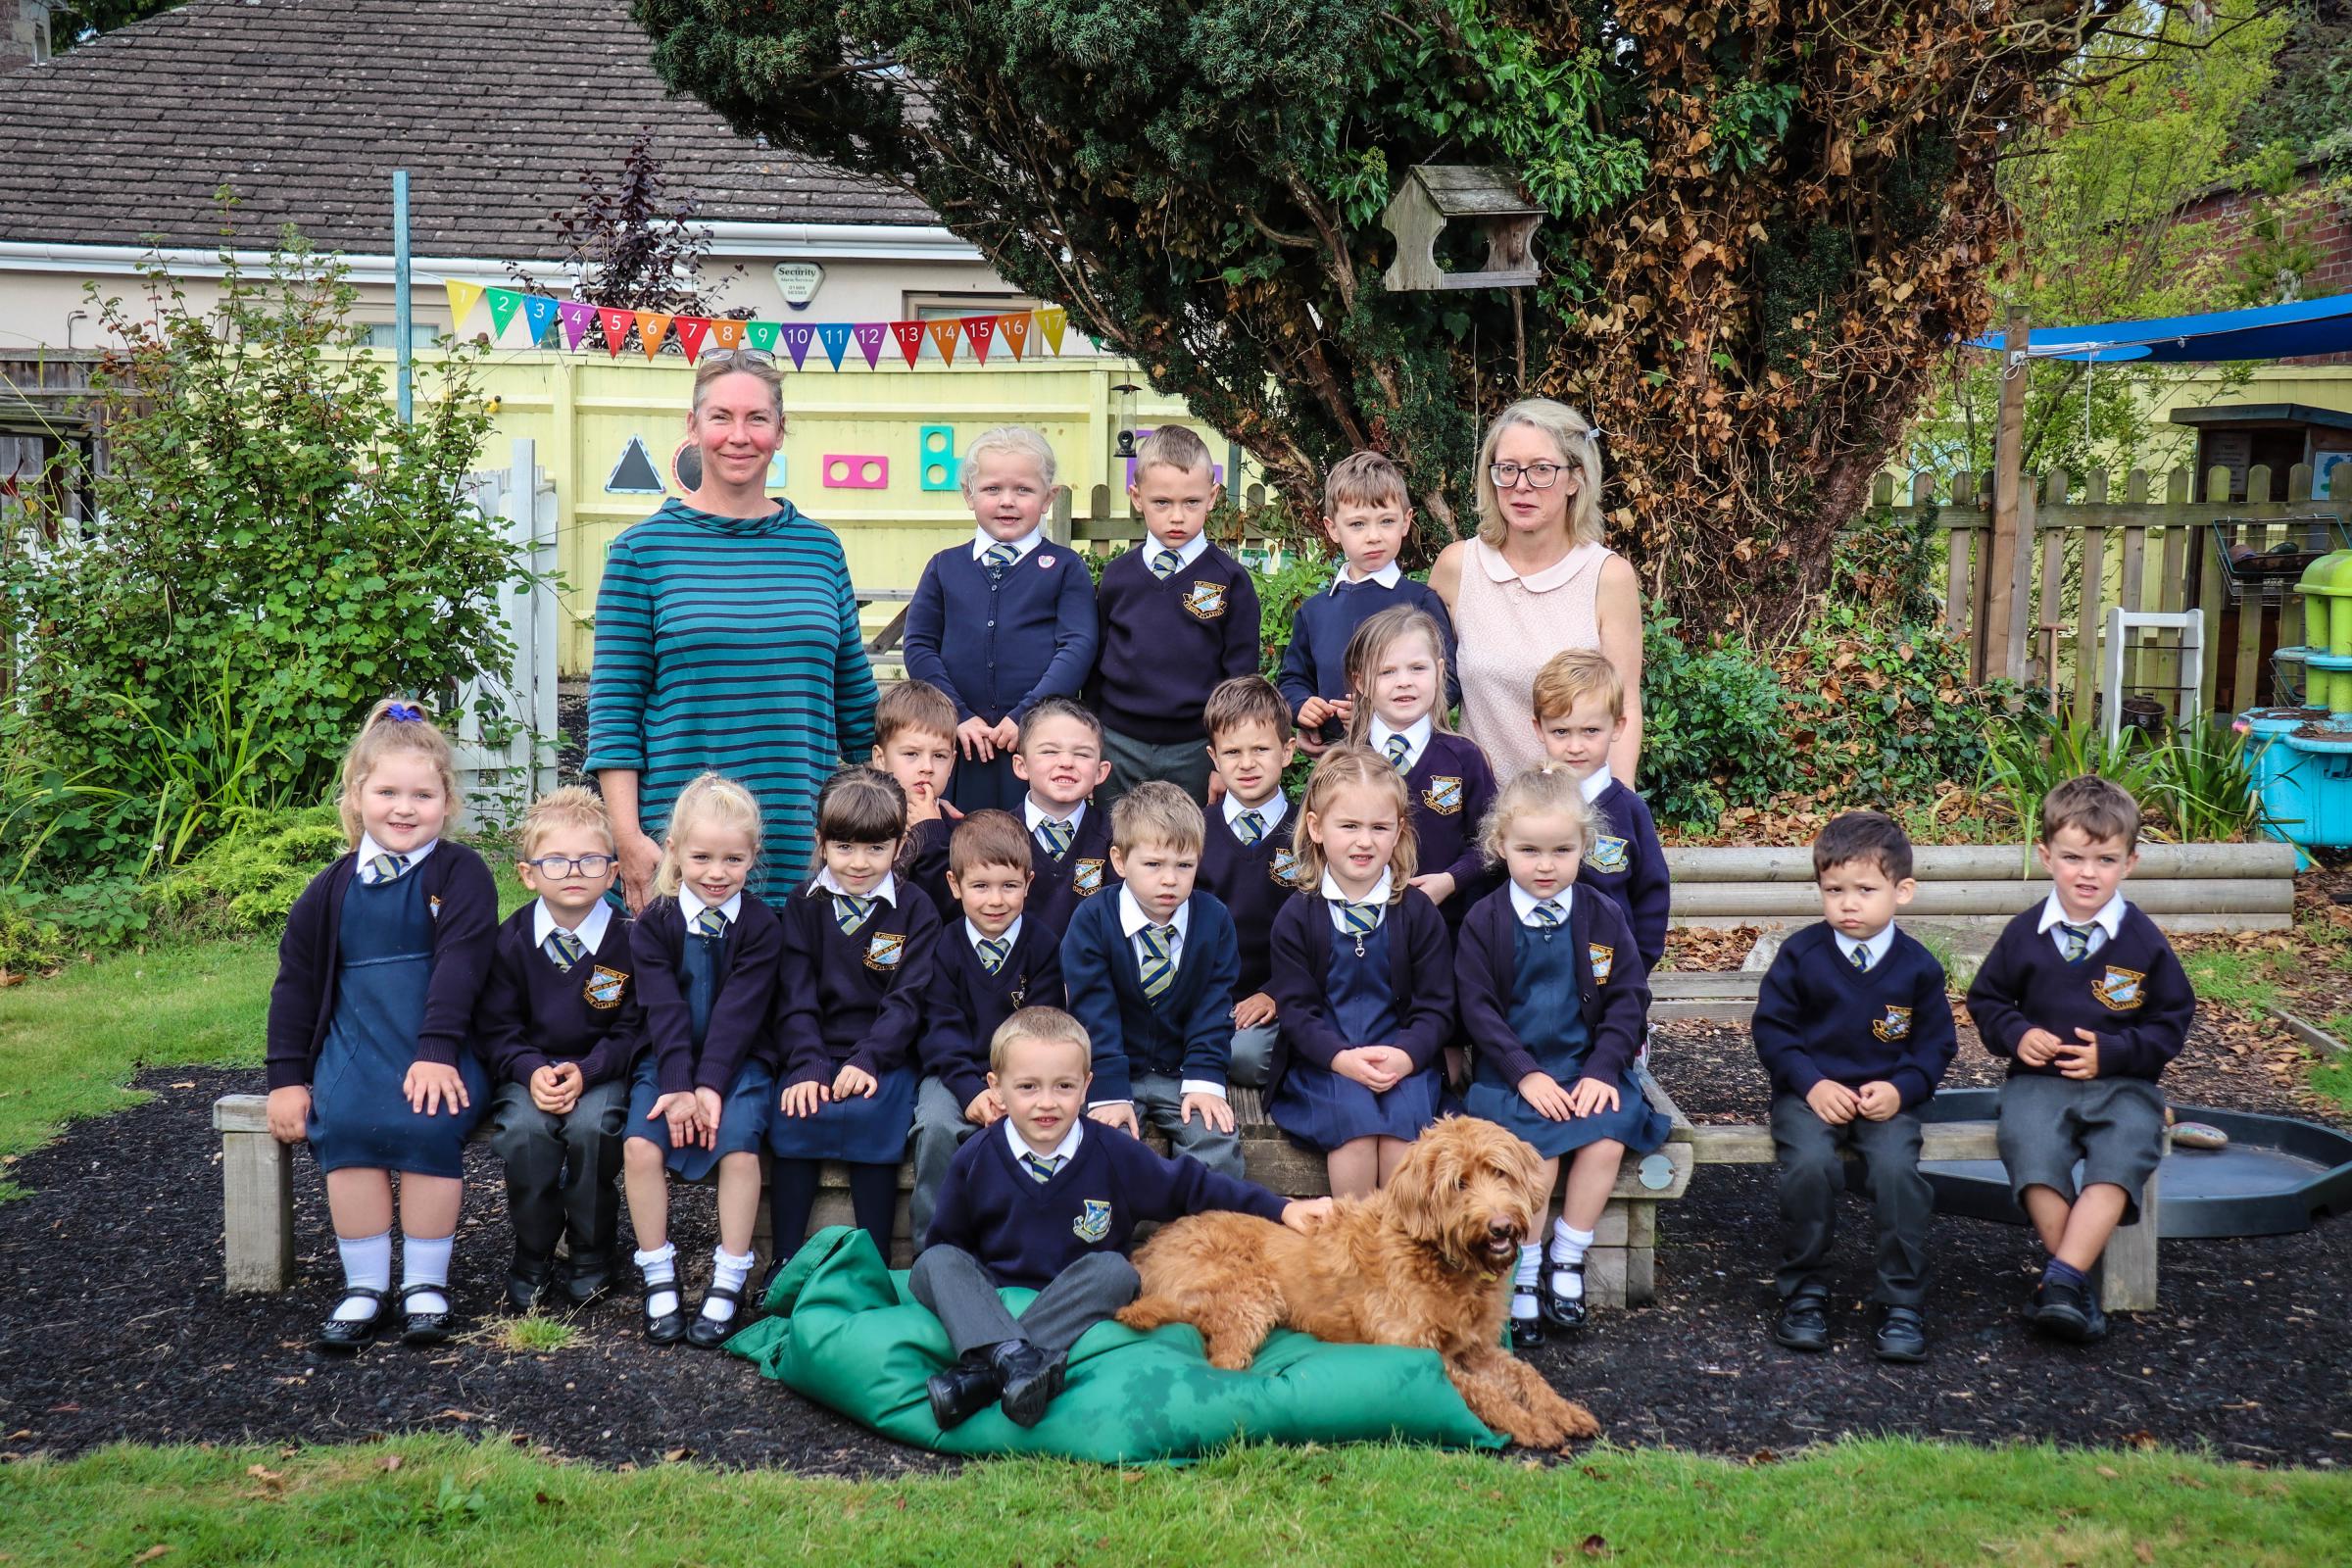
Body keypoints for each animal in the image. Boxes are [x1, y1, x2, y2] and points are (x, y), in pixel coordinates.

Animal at [1114, 1114, 1599, 1447]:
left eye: (1499, 1172)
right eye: (1458, 1183)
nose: (1501, 1226)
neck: (1436, 1261)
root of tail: (1145, 1256)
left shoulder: (1476, 1347)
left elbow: (1525, 1374)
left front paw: (1564, 1411)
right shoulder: (1418, 1352)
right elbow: (1485, 1392)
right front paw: (1529, 1423)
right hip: (1251, 1295)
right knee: (1222, 1365)